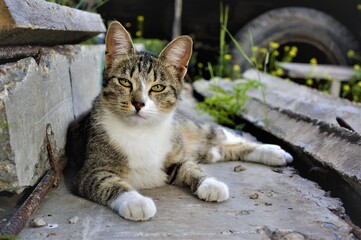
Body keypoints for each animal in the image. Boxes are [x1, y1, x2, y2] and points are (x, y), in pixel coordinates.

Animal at [65, 21, 292, 221]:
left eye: (158, 87)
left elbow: (188, 166)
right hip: (206, 150)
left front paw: (210, 183)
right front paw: (136, 202)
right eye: (124, 82)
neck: (141, 131)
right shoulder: (88, 172)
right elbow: (108, 182)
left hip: (194, 130)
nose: (138, 103)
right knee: (221, 149)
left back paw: (274, 151)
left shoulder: (175, 156)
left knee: (224, 134)